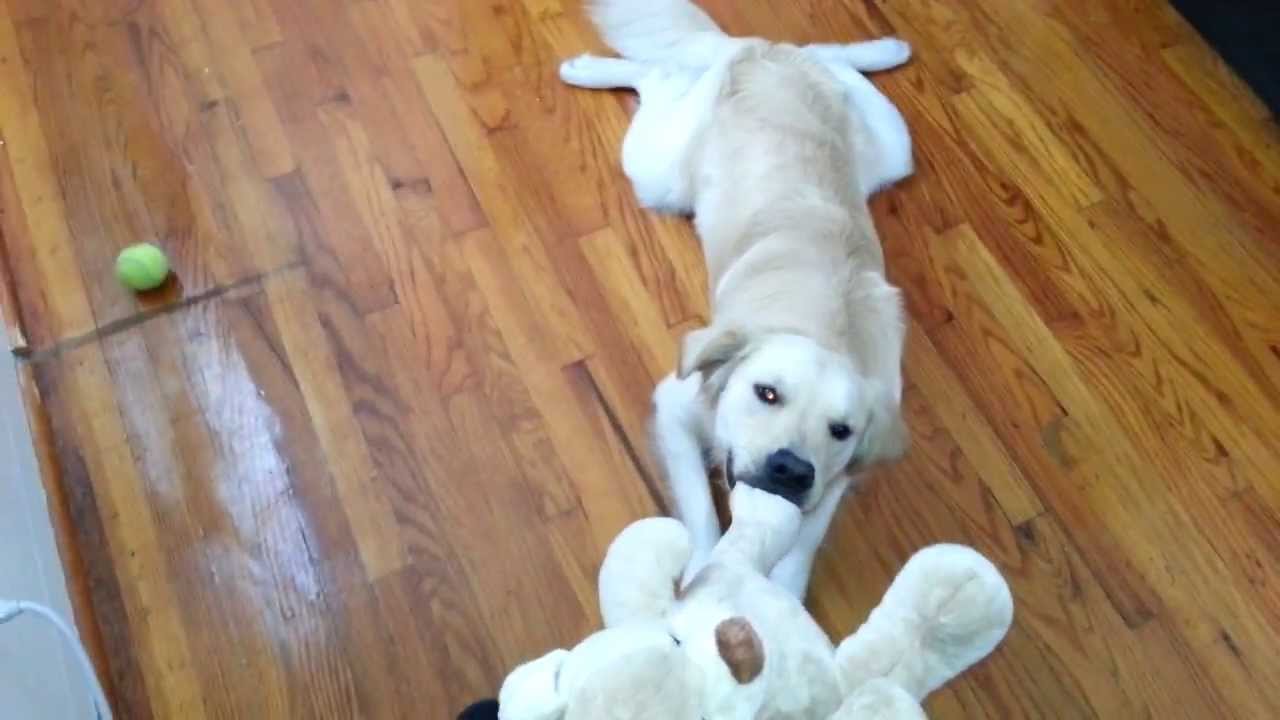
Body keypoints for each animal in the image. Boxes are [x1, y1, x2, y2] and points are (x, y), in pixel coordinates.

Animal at [565, 0, 916, 594]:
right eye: (766, 393)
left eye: (840, 430)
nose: (791, 470)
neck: (826, 331)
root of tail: (764, 55)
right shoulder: (674, 407)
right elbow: (704, 516)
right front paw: (705, 575)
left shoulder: (835, 479)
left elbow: (803, 542)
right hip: (658, 174)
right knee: (657, 74)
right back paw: (585, 68)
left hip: (892, 151)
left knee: (827, 56)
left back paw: (883, 49)